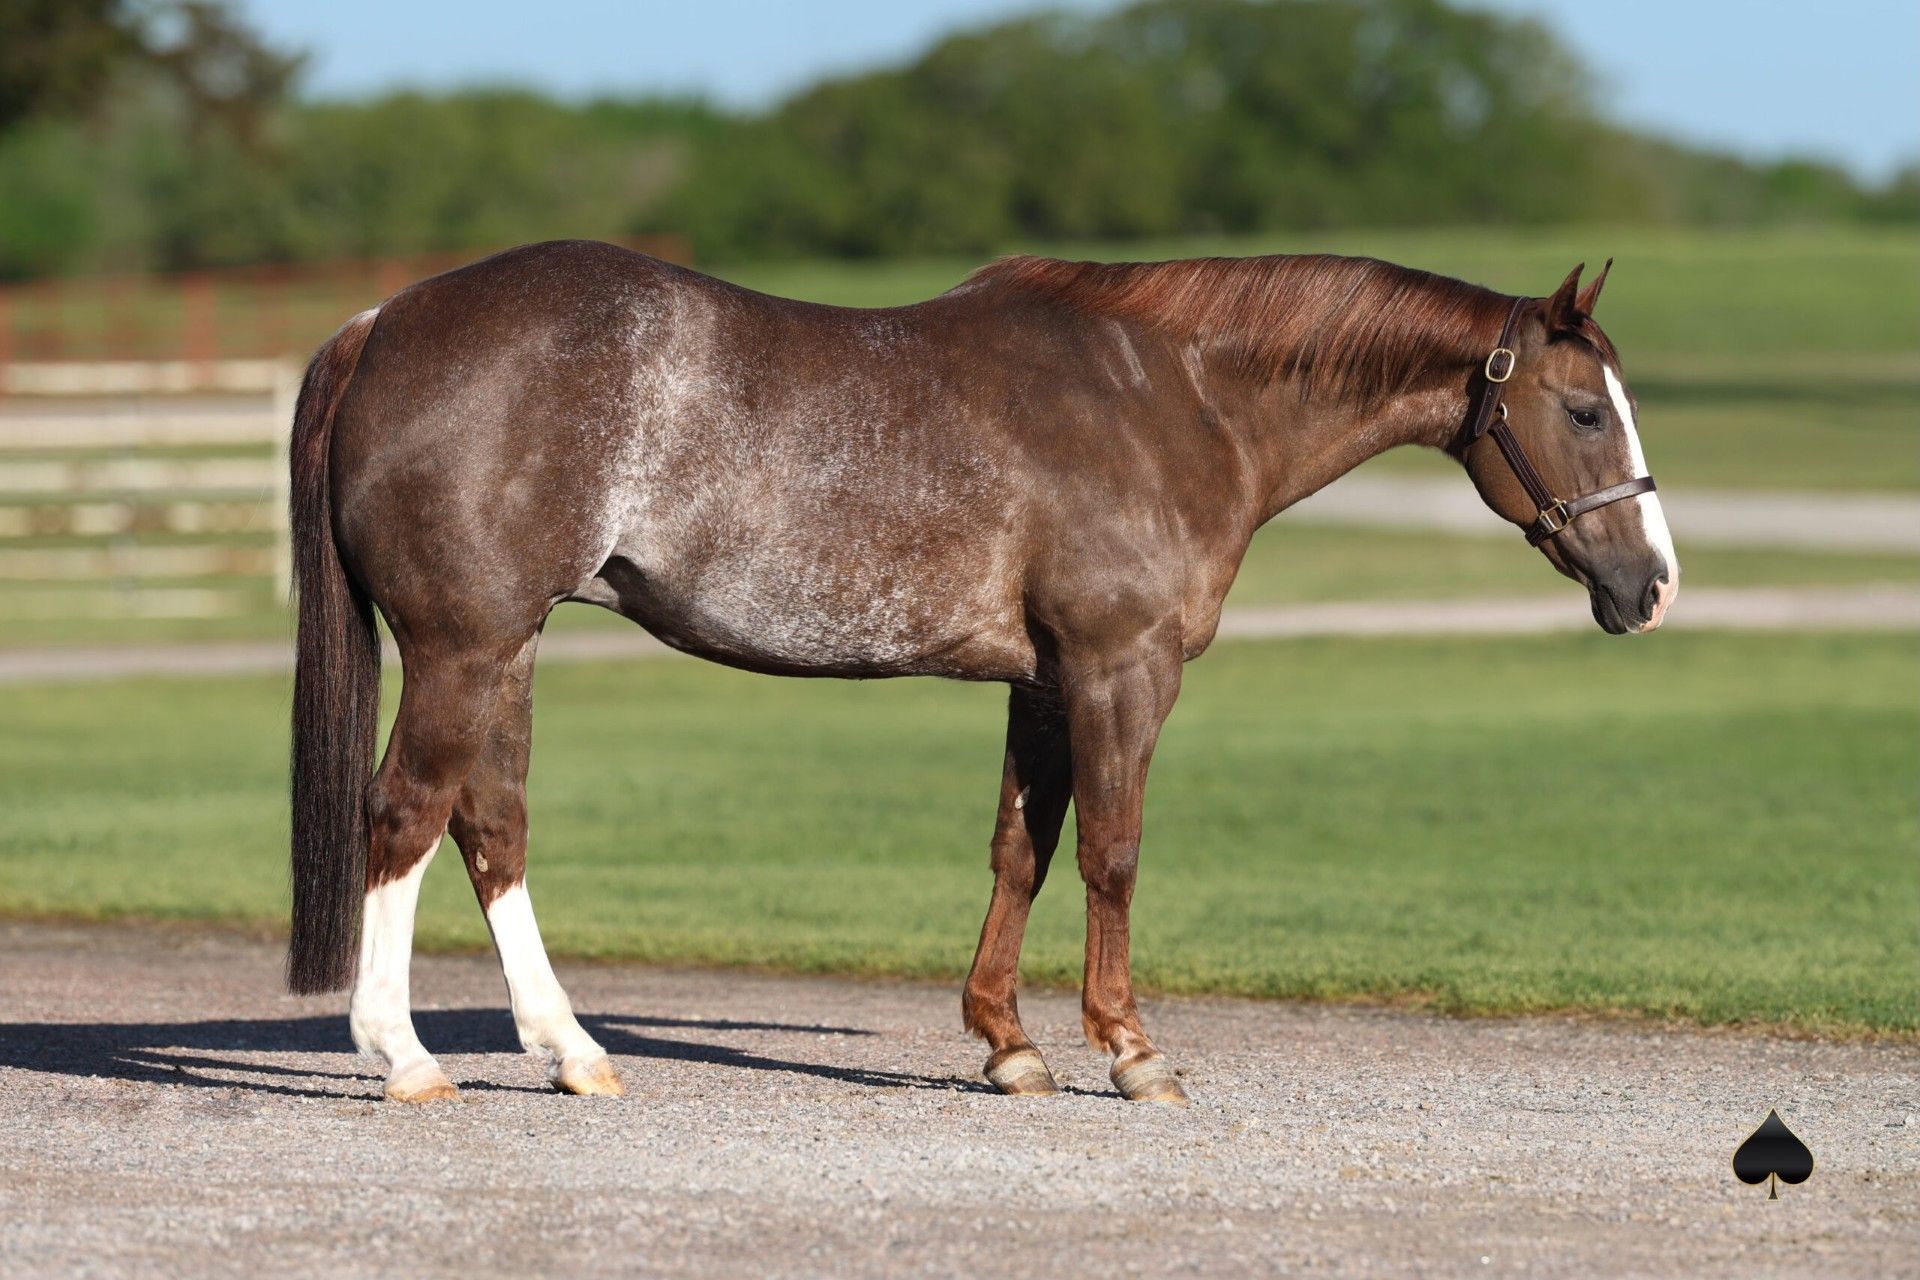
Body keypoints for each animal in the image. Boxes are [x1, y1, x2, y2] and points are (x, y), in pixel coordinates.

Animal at [287, 241, 1677, 1104]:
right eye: (1585, 409)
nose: (1651, 584)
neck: (1171, 397)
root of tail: (382, 322)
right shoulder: (1123, 669)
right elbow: (1112, 849)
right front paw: (1130, 1050)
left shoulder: (1047, 681)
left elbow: (1024, 846)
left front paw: (1009, 1043)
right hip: (465, 646)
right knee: (403, 814)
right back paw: (402, 1053)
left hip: (508, 646)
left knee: (491, 826)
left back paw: (572, 1049)